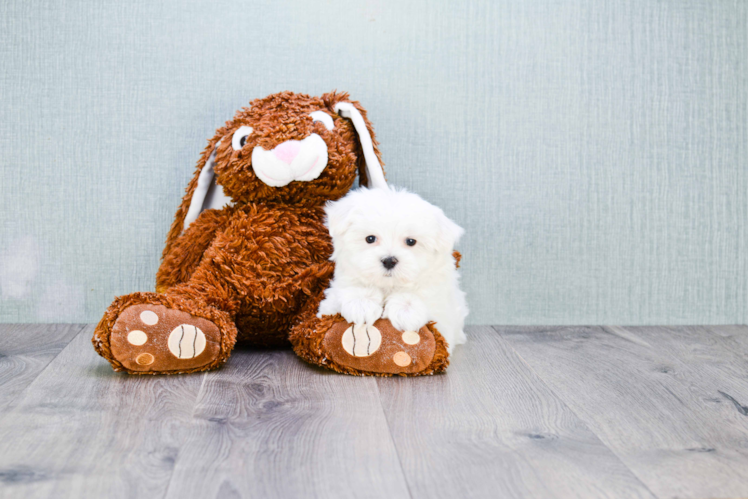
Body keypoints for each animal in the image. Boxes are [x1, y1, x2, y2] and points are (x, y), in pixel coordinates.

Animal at [316, 187, 468, 352]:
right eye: (370, 238)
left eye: (411, 241)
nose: (389, 261)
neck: (388, 286)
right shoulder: (331, 300)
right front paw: (361, 303)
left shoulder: (442, 309)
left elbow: (420, 295)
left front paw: (406, 311)